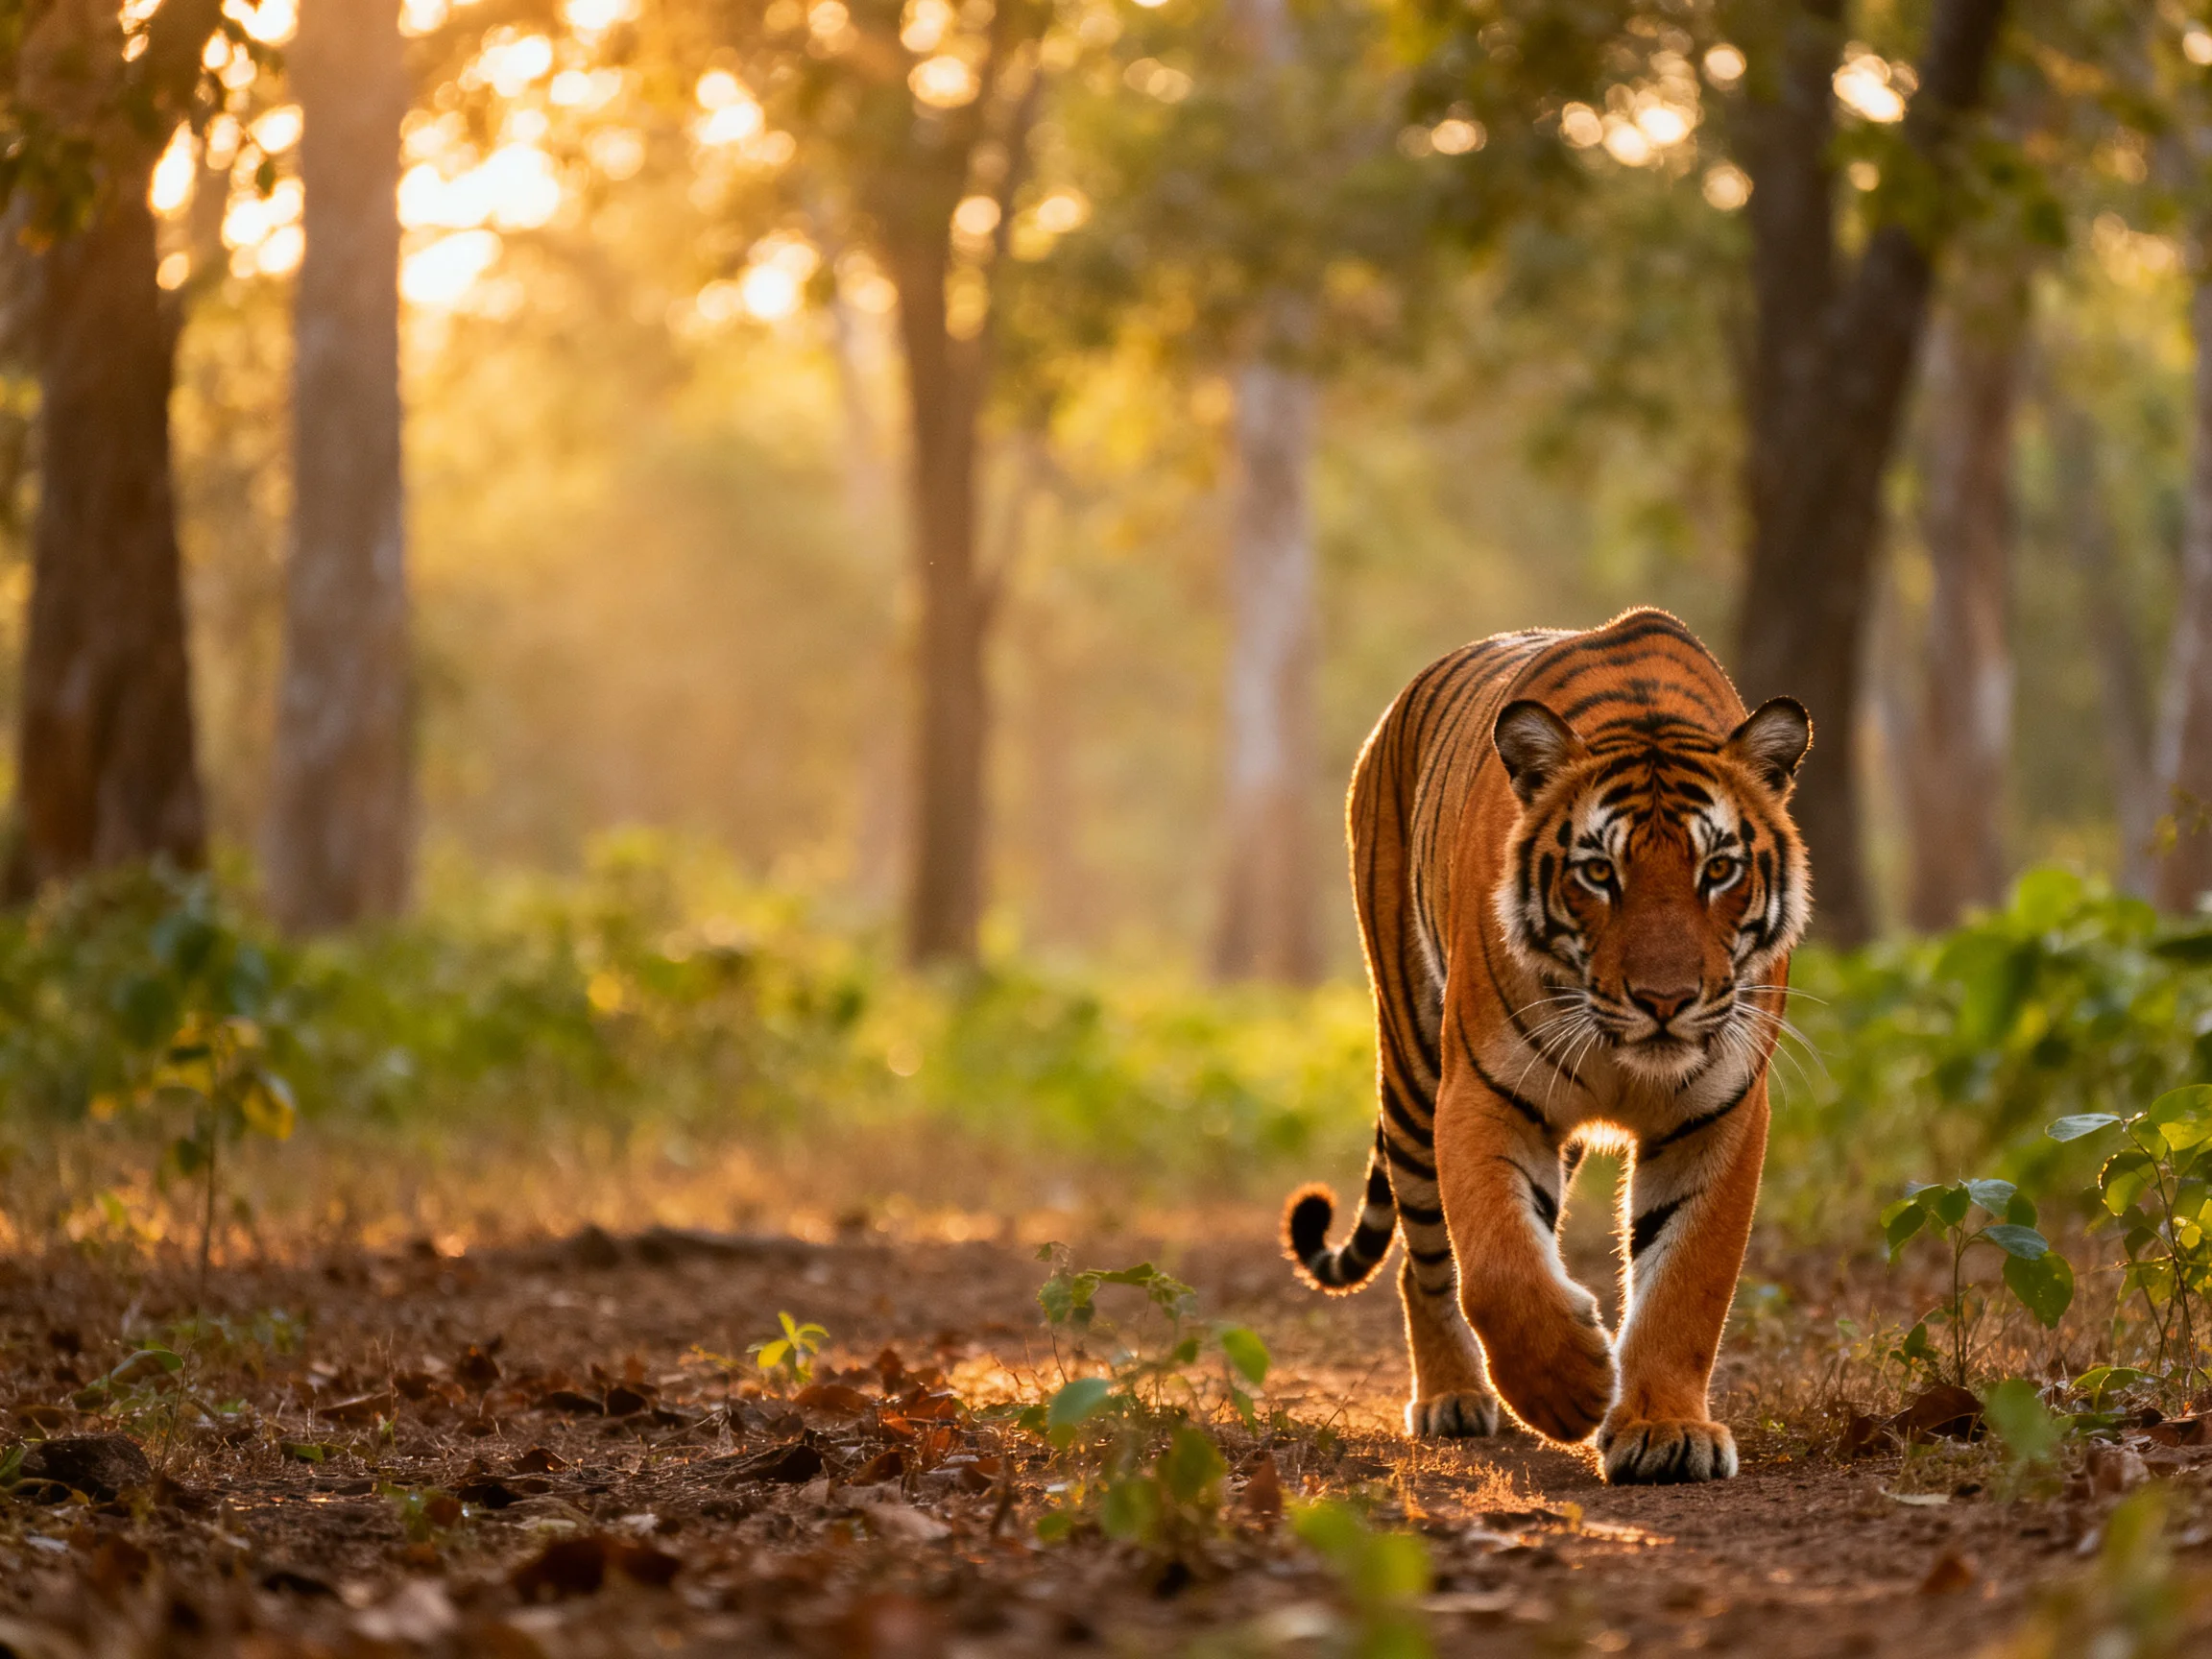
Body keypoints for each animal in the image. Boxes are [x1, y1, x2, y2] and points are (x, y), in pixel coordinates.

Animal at [1283, 608, 1811, 1485]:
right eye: (1598, 873)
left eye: (1719, 869)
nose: (1665, 1001)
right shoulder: (1482, 1090)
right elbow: (1497, 1266)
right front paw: (1567, 1388)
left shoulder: (1719, 1113)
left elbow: (1687, 1282)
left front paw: (1665, 1429)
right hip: (1412, 1068)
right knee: (1424, 1258)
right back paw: (1454, 1398)